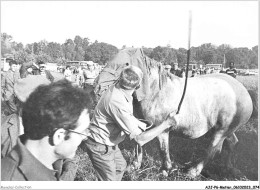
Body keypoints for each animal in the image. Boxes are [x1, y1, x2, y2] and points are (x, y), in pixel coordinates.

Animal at [92, 47, 255, 178]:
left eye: (126, 63)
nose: (97, 86)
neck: (156, 92)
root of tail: (243, 91)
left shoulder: (161, 129)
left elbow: (163, 150)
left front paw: (165, 170)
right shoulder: (141, 126)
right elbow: (138, 145)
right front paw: (134, 166)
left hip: (221, 131)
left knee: (213, 150)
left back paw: (193, 171)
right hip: (225, 130)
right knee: (232, 143)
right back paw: (229, 167)